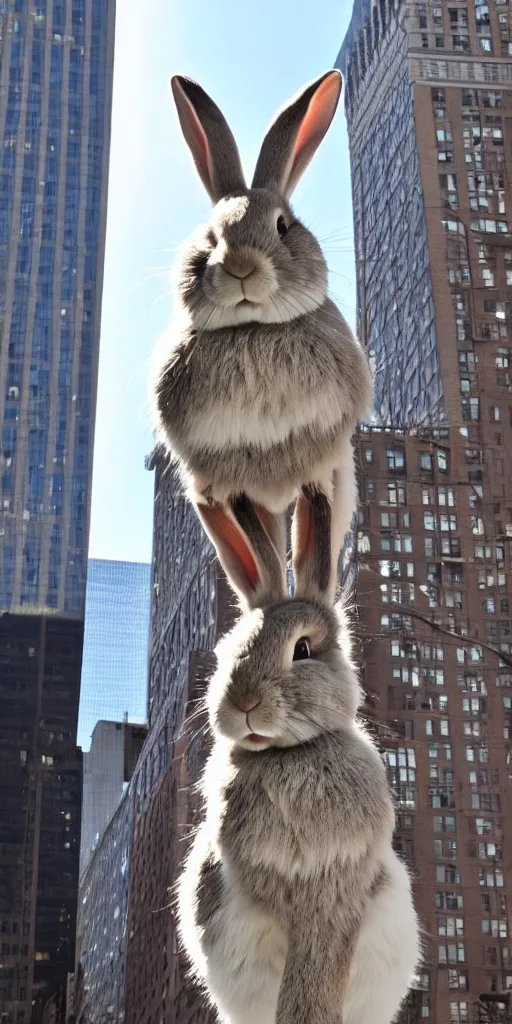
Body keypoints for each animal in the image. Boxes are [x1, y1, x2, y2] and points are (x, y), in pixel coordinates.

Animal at [151, 72, 372, 602]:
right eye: (210, 237)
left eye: (282, 225)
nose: (241, 267)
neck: (253, 330)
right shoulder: (222, 475)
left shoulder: (319, 461)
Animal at [177, 489, 419, 1024]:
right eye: (227, 652)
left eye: (303, 649)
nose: (243, 703)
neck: (289, 755)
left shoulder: (337, 884)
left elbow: (319, 969)